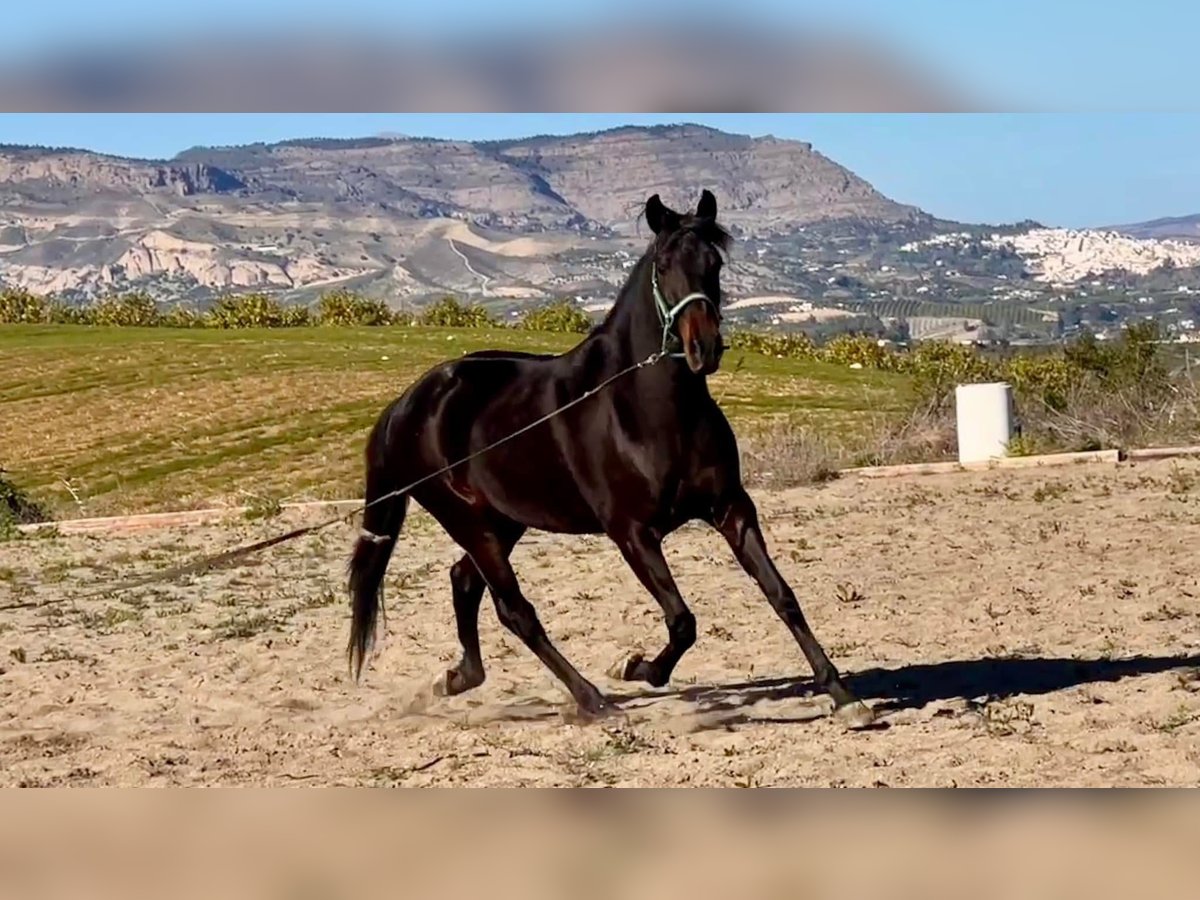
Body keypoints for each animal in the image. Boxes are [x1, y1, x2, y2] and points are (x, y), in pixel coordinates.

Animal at [345, 190, 873, 734]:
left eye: (715, 263)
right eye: (663, 265)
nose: (704, 348)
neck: (648, 411)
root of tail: (407, 404)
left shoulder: (732, 509)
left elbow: (782, 596)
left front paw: (843, 696)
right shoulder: (632, 532)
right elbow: (682, 621)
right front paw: (637, 667)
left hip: (503, 520)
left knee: (464, 583)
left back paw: (456, 678)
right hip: (469, 521)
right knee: (515, 611)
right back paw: (594, 700)